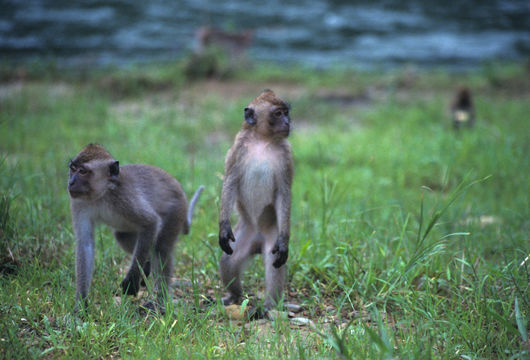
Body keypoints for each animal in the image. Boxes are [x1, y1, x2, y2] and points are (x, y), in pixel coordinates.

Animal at [67, 145, 202, 310]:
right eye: (73, 168)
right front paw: (81, 304)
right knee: (122, 236)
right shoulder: (79, 203)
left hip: (176, 211)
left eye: (83, 171)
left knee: (161, 248)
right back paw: (147, 265)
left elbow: (151, 223)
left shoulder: (125, 198)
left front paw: (131, 280)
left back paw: (160, 301)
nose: (71, 182)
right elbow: (85, 245)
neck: (103, 194)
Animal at [219, 89, 292, 312]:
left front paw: (285, 239)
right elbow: (230, 181)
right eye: (278, 113)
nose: (288, 122)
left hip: (270, 235)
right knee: (229, 260)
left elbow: (284, 193)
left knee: (274, 261)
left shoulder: (286, 155)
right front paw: (223, 227)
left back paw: (269, 306)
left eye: (286, 112)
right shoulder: (238, 148)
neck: (262, 140)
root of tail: (258, 239)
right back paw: (234, 296)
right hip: (245, 233)